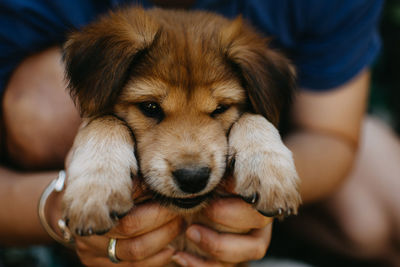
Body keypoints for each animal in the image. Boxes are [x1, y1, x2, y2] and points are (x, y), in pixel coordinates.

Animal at [61, 6, 300, 264]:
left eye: (220, 108)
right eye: (150, 107)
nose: (193, 178)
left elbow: (253, 117)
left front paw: (270, 171)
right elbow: (104, 120)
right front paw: (95, 189)